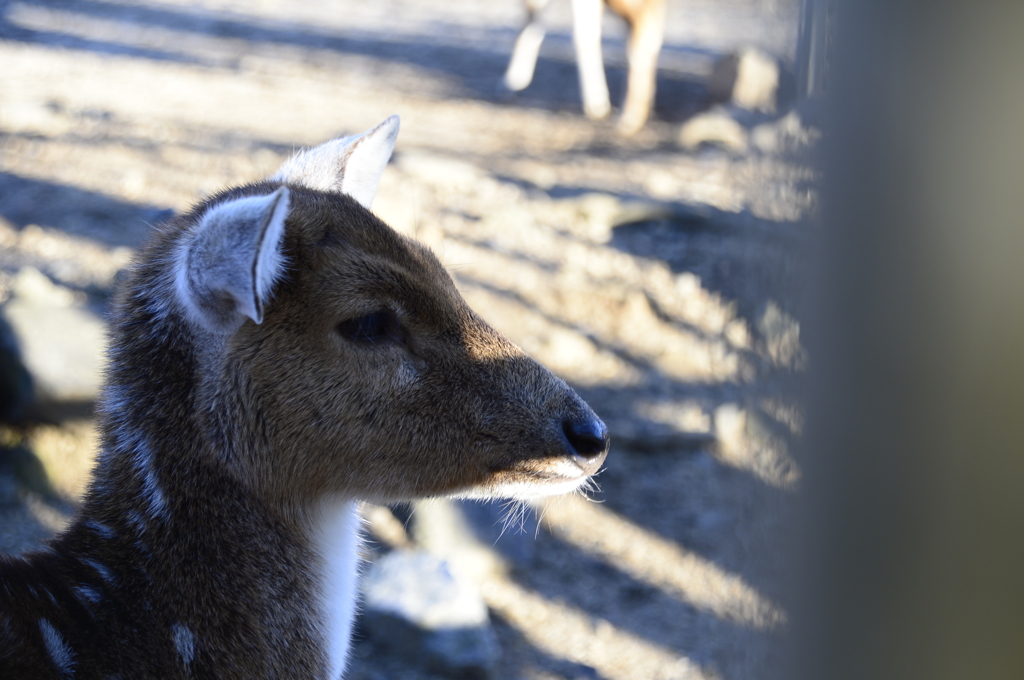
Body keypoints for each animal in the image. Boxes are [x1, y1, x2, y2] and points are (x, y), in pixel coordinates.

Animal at [501, 0, 663, 136]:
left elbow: (584, 35)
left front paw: (598, 105)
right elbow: (530, 20)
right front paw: (513, 82)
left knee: (643, 26)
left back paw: (630, 118)